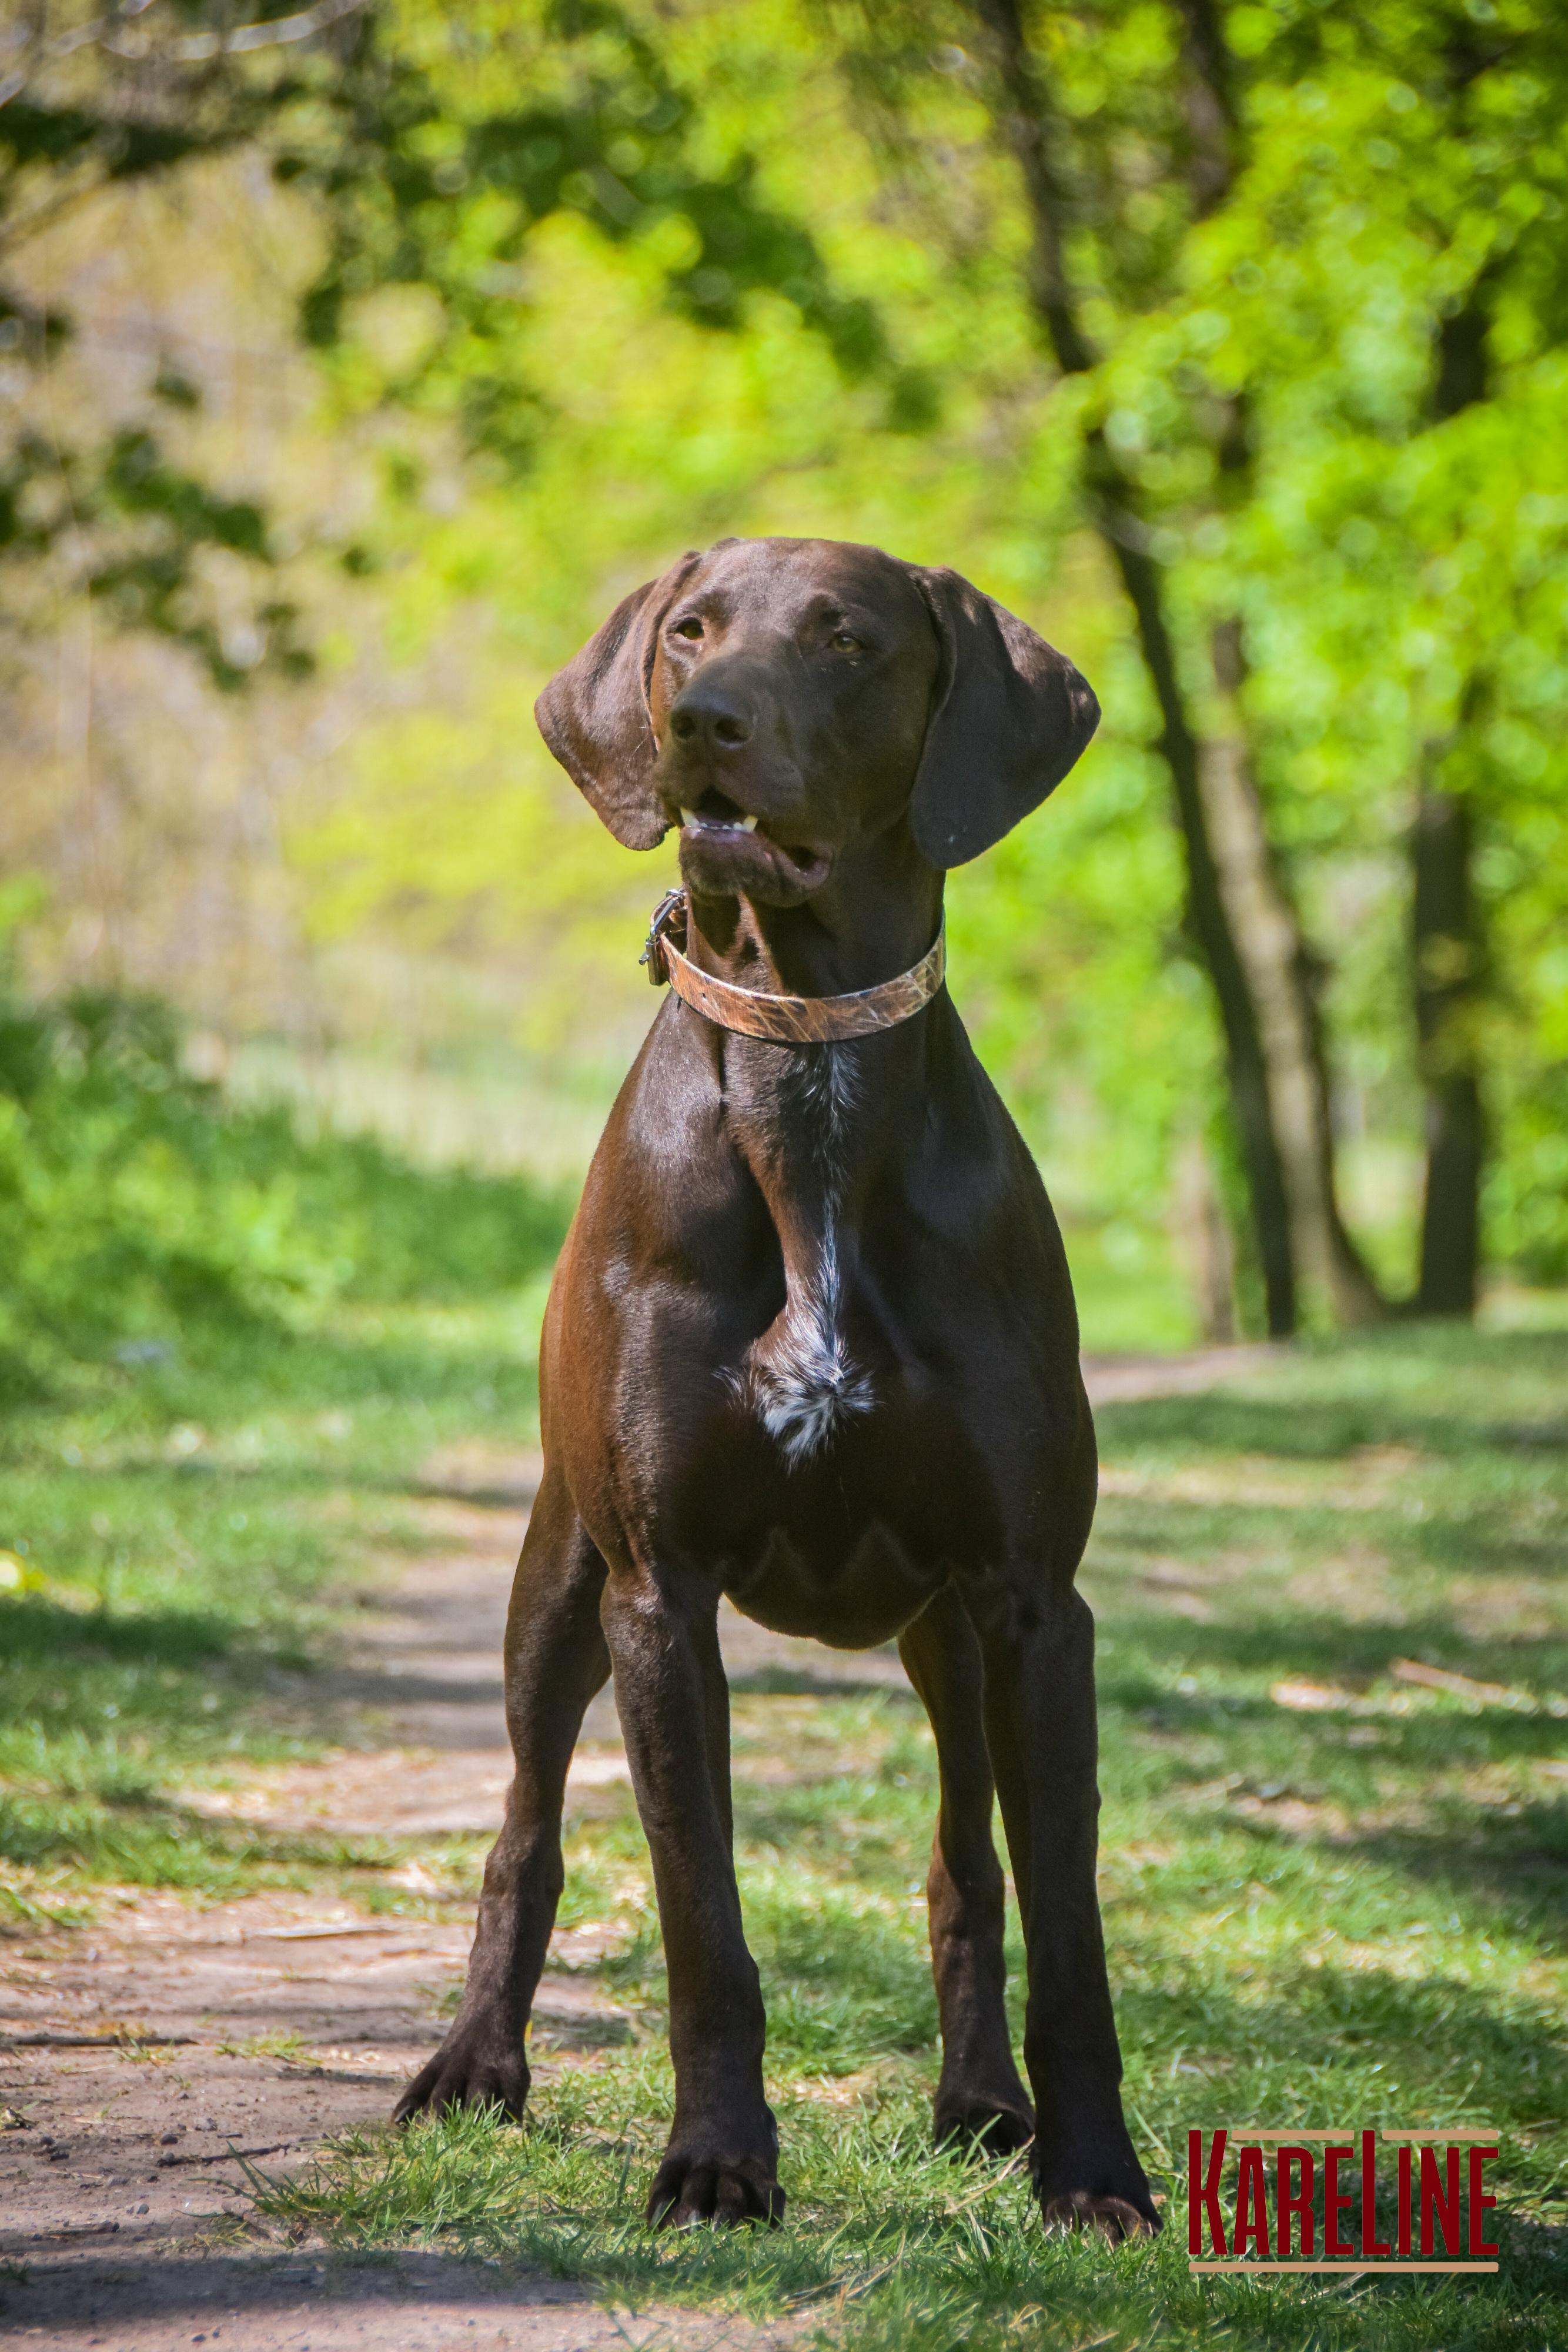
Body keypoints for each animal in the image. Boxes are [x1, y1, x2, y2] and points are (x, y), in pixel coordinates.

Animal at [399, 534, 1161, 2239]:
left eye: (845, 638)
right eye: (690, 629)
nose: (704, 721)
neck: (807, 1065)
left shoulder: (1032, 1605)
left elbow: (1067, 1923)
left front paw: (1096, 2173)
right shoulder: (657, 1595)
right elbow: (704, 1923)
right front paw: (716, 2158)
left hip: (951, 1643)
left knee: (966, 1865)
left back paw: (980, 2101)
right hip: (557, 1585)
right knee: (524, 1830)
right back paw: (474, 2064)